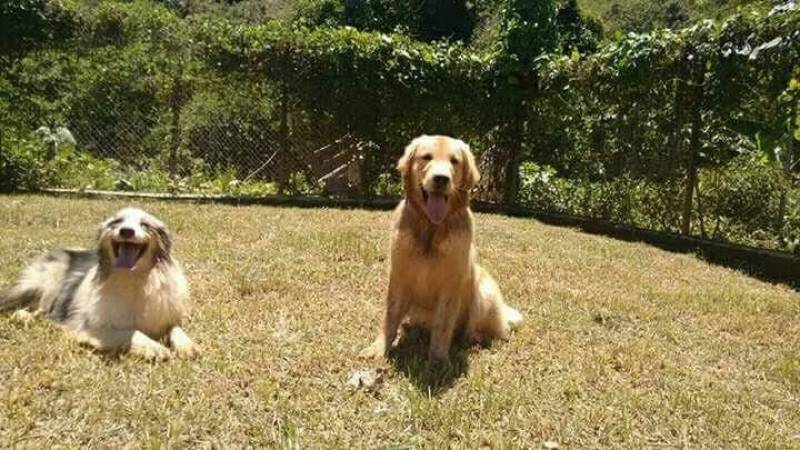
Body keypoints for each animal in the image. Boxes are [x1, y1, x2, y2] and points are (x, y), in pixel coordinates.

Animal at [0, 208, 198, 362]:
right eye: (117, 221)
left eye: (144, 224)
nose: (126, 231)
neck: (133, 279)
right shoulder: (87, 327)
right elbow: (130, 331)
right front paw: (155, 348)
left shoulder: (164, 317)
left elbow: (176, 329)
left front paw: (187, 346)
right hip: (42, 285)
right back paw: (24, 317)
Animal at [360, 134, 520, 362]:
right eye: (427, 157)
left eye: (454, 161)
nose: (441, 179)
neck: (431, 228)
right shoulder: (399, 278)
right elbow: (389, 320)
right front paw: (379, 349)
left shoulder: (450, 285)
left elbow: (443, 326)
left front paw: (438, 361)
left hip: (484, 290)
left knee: (493, 328)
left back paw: (475, 337)